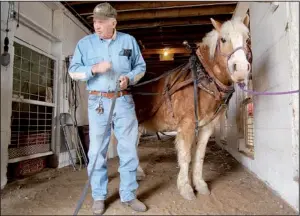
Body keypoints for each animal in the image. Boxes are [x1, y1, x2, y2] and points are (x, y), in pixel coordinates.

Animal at [127, 15, 252, 200]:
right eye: (223, 39)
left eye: (247, 39)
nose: (241, 69)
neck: (202, 80)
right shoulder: (187, 125)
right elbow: (185, 156)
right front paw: (185, 188)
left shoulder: (206, 127)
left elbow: (199, 156)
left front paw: (200, 185)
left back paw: (138, 172)